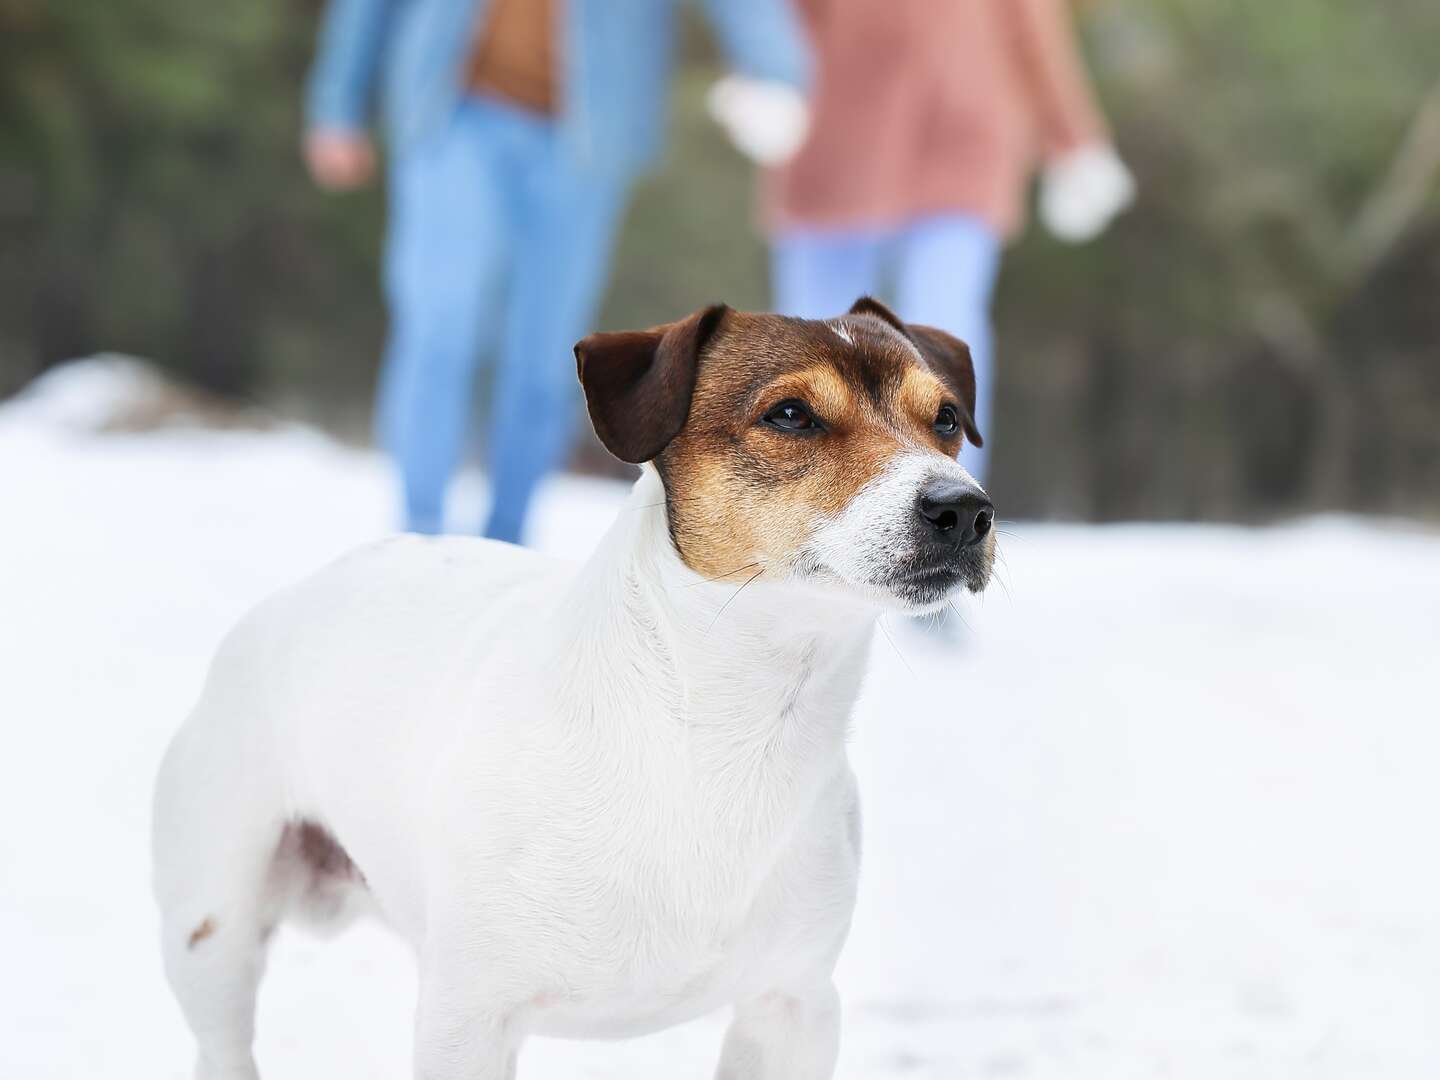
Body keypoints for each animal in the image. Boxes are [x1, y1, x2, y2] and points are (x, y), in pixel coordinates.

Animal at [151, 298, 996, 1080]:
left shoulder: (791, 1005)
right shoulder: (470, 1015)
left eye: (946, 418)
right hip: (213, 927)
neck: (723, 727)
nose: (963, 509)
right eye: (790, 414)